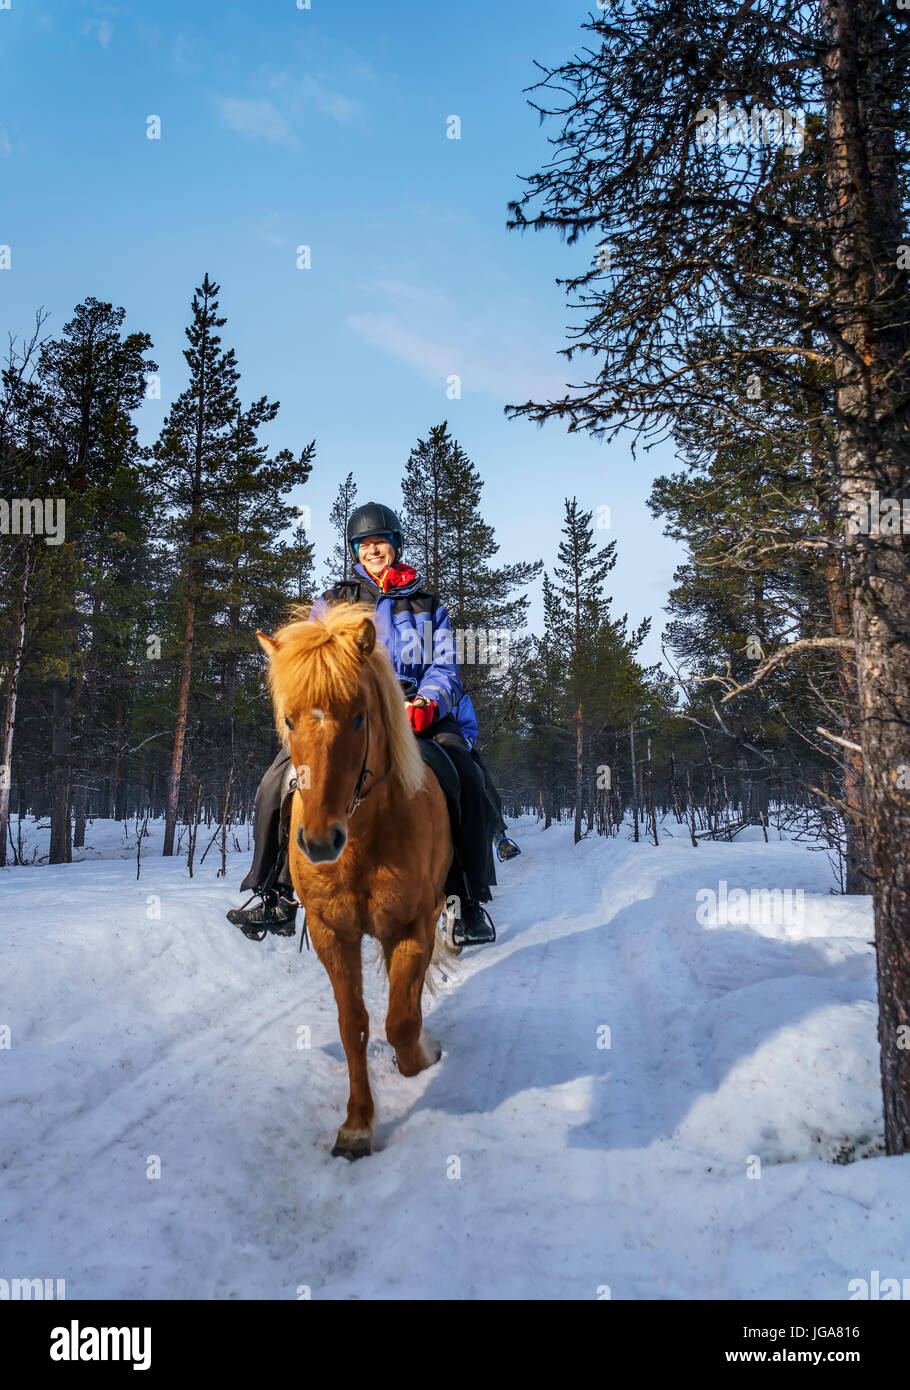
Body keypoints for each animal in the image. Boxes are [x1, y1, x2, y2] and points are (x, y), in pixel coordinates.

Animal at [254, 603, 455, 1156]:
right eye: (289, 719)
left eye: (361, 716)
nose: (321, 842)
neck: (363, 844)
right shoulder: (332, 932)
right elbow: (354, 1025)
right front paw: (357, 1124)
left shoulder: (411, 926)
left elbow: (402, 1024)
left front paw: (422, 1055)